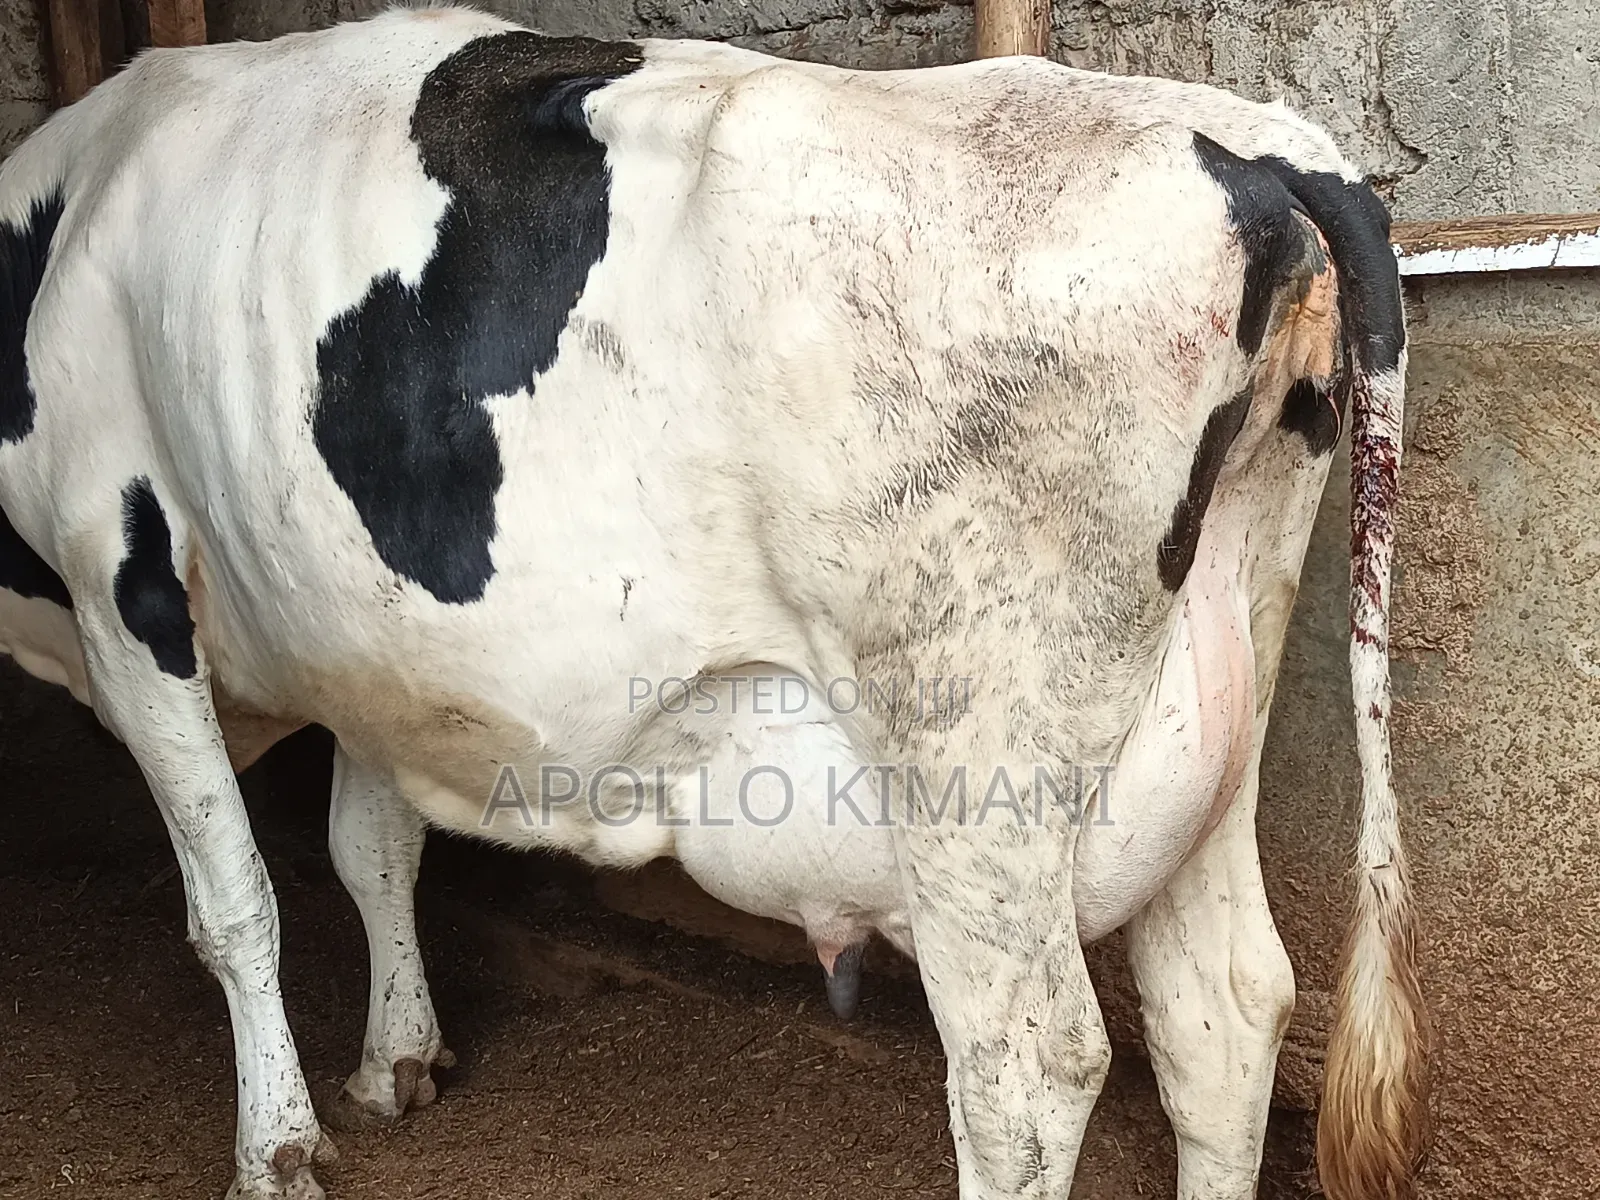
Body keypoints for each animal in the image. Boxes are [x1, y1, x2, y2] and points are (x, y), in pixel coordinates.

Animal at [0, 6, 1428, 1198]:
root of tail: (1251, 149)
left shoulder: (120, 583)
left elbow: (234, 900)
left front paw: (278, 1148)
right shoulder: (371, 644)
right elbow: (371, 847)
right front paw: (397, 1059)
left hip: (976, 748)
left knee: (1027, 1069)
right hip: (1216, 688)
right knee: (1221, 1013)